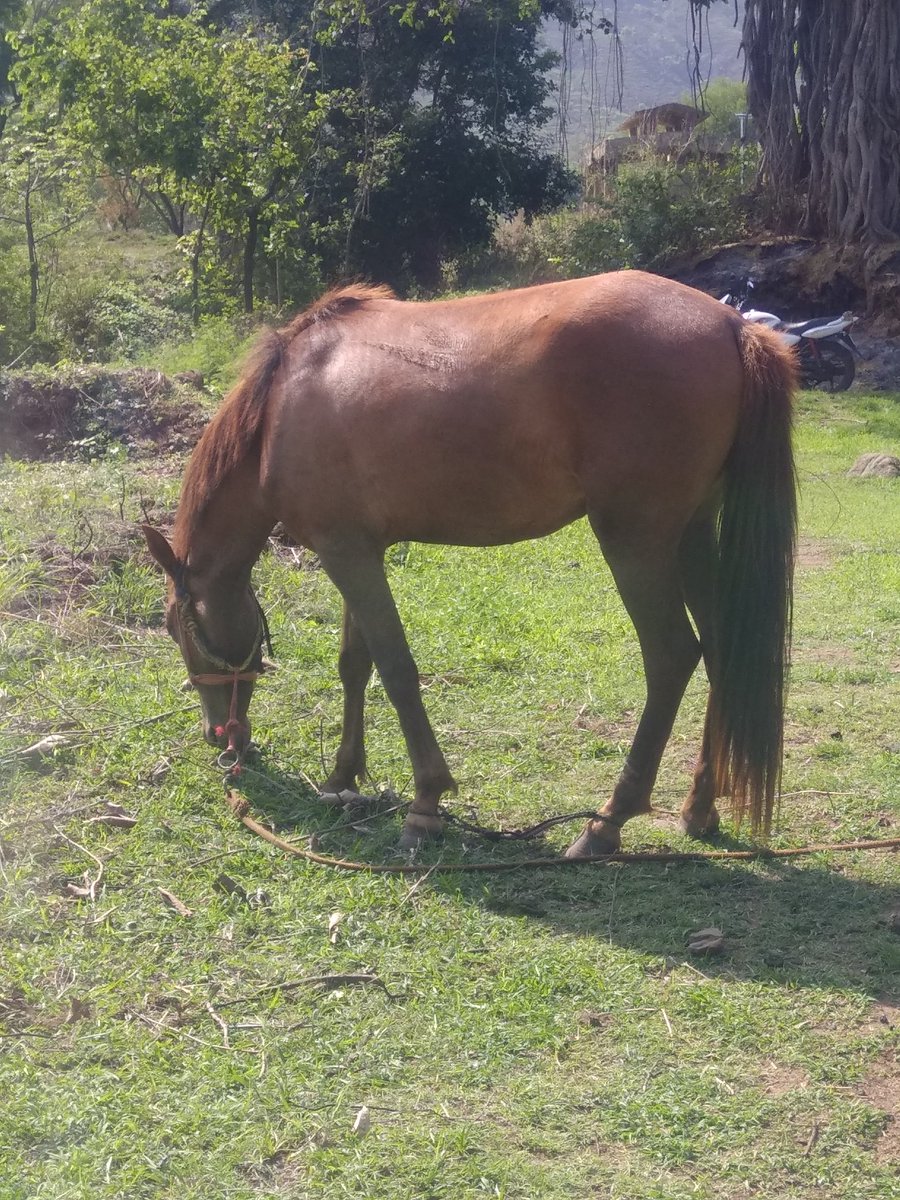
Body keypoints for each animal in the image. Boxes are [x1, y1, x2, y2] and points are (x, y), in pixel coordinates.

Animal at [143, 271, 797, 857]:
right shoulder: (356, 547)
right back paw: (699, 807)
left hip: (636, 540)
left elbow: (396, 669)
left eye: (179, 631)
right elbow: (355, 663)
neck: (282, 406)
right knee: (721, 650)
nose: (221, 740)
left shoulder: (347, 554)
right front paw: (342, 777)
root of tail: (734, 324)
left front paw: (426, 804)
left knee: (671, 657)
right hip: (691, 535)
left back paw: (609, 821)